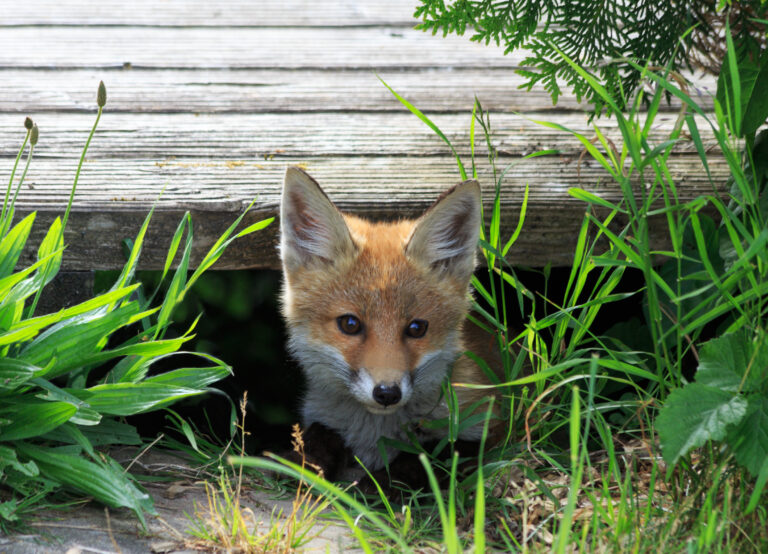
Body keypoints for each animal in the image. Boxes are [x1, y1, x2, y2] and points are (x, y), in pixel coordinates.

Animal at [279, 166, 501, 484]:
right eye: (350, 324)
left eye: (417, 328)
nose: (386, 393)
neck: (375, 433)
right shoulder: (322, 421)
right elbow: (318, 439)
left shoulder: (490, 429)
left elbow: (425, 459)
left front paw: (379, 482)